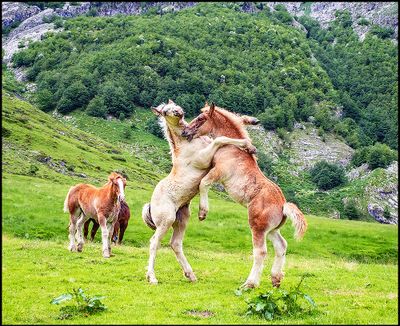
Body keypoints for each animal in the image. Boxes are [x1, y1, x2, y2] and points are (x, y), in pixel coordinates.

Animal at [142, 100, 256, 284]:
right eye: (165, 112)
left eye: (175, 105)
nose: (179, 112)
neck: (187, 144)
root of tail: (150, 205)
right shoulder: (205, 159)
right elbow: (221, 139)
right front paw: (249, 146)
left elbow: (228, 126)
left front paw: (251, 123)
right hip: (166, 221)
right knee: (154, 243)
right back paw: (152, 277)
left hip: (181, 219)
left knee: (175, 244)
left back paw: (191, 275)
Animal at [183, 104, 308, 288]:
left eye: (201, 118)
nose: (185, 132)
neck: (232, 150)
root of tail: (283, 205)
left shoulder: (218, 172)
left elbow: (203, 183)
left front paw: (202, 213)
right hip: (271, 230)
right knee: (281, 246)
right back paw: (276, 279)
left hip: (258, 228)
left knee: (261, 251)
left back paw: (250, 283)